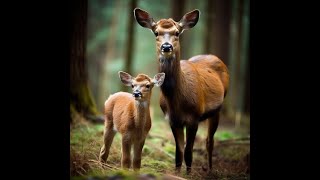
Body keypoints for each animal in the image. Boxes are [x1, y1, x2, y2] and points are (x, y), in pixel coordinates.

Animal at [134, 8, 229, 173]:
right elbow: (178, 151)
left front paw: (188, 173)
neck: (177, 101)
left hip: (217, 109)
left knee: (209, 140)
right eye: (156, 32)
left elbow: (188, 150)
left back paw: (210, 169)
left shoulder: (194, 117)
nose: (166, 47)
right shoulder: (172, 119)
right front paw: (177, 172)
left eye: (177, 32)